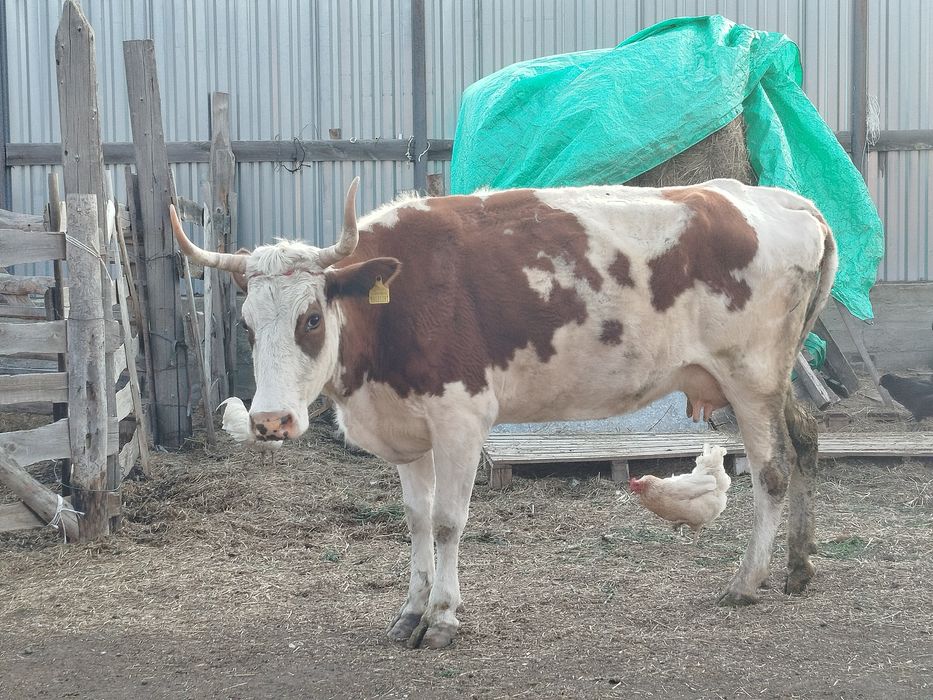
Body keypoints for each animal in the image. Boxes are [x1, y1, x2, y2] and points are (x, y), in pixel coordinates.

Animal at [170, 176, 837, 649]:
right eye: (247, 324)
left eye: (310, 318)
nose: (270, 422)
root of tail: (782, 199)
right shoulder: (408, 428)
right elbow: (415, 520)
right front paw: (409, 611)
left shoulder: (461, 418)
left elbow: (447, 523)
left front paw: (442, 618)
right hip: (774, 376)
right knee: (805, 440)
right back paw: (799, 567)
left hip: (750, 376)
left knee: (771, 471)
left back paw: (746, 581)